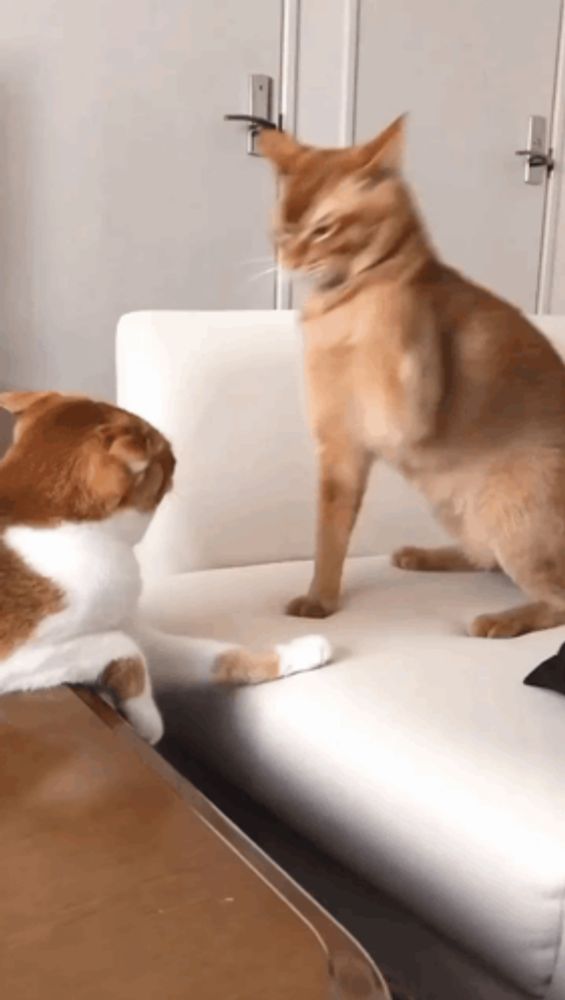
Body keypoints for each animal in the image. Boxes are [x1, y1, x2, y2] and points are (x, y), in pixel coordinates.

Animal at [0, 390, 330, 744]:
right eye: (166, 453)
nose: (176, 458)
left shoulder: (137, 629)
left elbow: (220, 655)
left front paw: (304, 650)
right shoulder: (17, 658)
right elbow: (124, 647)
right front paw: (145, 721)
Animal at [264, 113, 565, 636]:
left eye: (323, 229)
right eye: (283, 229)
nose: (290, 260)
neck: (338, 301)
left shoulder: (399, 419)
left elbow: (398, 299)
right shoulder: (339, 453)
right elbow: (329, 535)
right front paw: (320, 600)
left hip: (512, 497)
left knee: (557, 599)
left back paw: (498, 621)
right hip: (456, 507)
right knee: (486, 559)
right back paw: (424, 556)